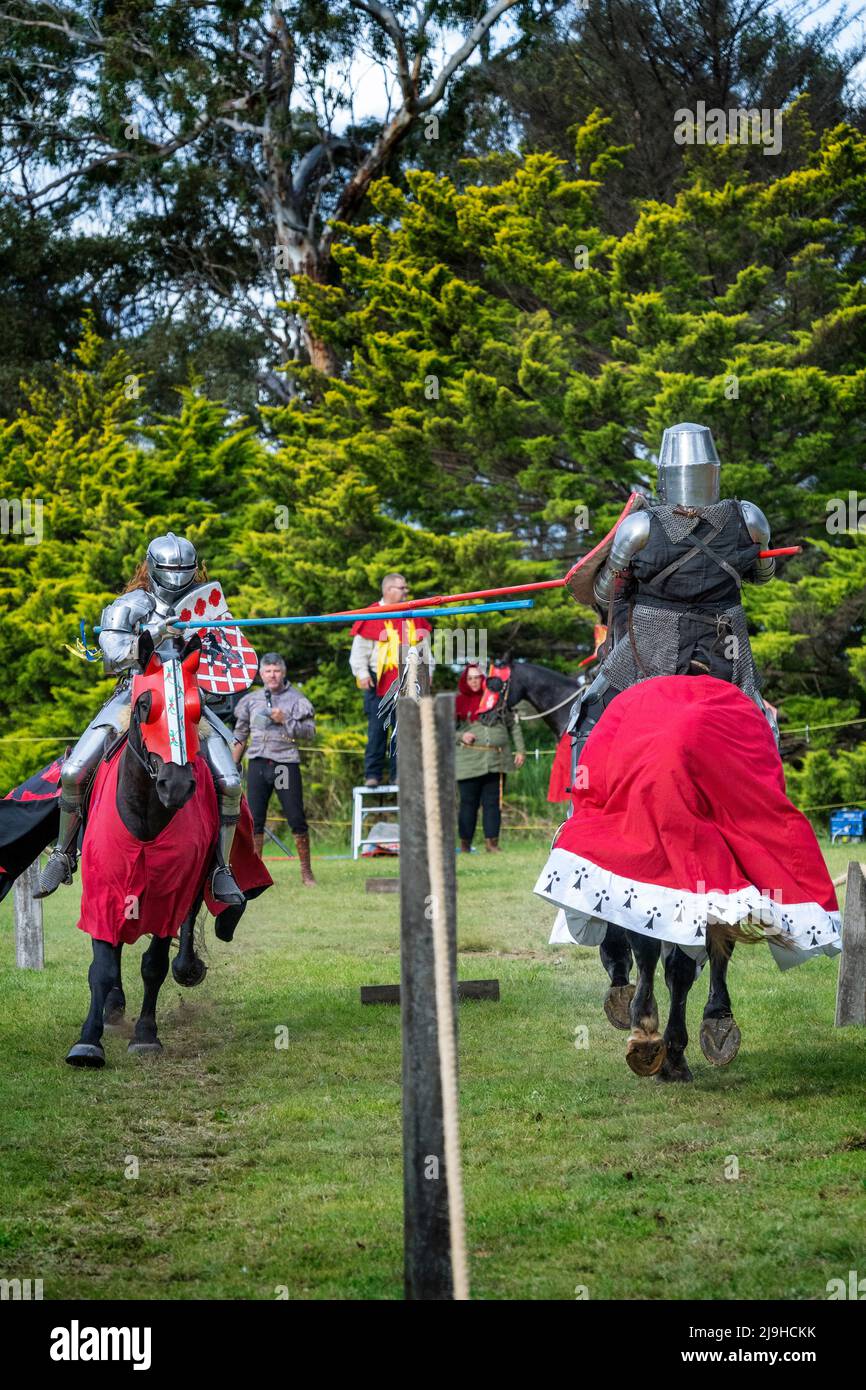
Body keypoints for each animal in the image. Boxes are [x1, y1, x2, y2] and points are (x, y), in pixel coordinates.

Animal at [40, 528, 250, 900]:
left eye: (195, 706)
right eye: (144, 705)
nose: (176, 785)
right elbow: (118, 647)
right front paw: (164, 629)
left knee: (230, 785)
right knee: (73, 776)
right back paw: (55, 866)